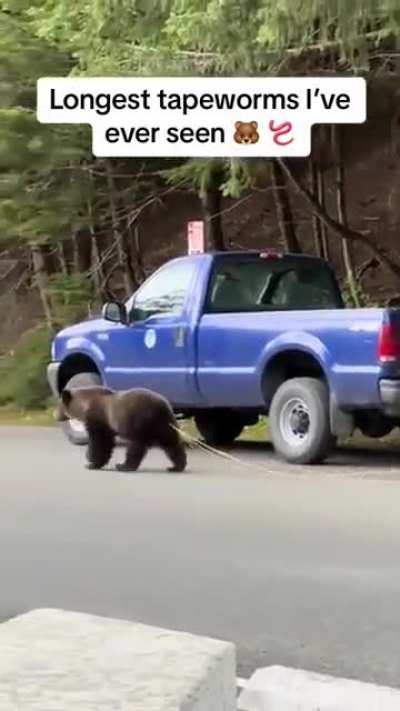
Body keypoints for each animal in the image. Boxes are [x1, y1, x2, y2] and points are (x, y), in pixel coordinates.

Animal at [56, 385, 187, 473]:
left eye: (59, 405)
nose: (55, 414)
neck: (85, 405)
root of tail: (162, 406)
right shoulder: (107, 425)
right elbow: (106, 443)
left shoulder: (98, 419)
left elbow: (99, 442)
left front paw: (91, 462)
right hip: (164, 424)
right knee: (172, 444)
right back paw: (176, 466)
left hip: (138, 421)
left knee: (136, 446)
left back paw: (124, 466)